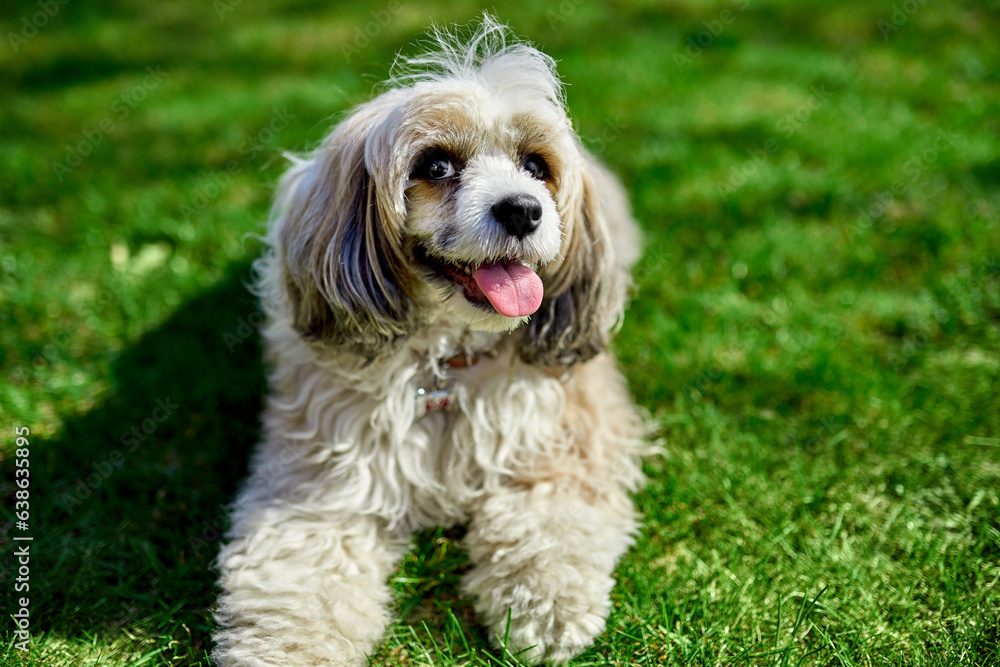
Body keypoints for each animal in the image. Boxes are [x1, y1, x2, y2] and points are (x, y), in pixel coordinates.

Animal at [213, 17, 648, 667]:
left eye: (536, 165)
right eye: (436, 166)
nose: (523, 210)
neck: (449, 362)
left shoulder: (566, 446)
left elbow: (550, 527)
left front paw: (546, 605)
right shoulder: (319, 489)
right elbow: (299, 575)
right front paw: (288, 649)